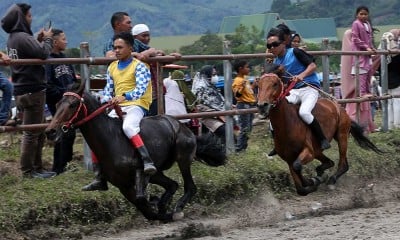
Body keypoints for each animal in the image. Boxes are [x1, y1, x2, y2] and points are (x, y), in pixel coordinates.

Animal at [44, 80, 225, 221]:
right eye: (57, 104)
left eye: (72, 105)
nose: (50, 131)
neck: (111, 140)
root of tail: (184, 127)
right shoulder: (122, 185)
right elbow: (146, 210)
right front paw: (159, 206)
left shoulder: (140, 172)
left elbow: (142, 199)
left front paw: (159, 204)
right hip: (158, 172)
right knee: (173, 184)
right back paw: (164, 204)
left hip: (183, 158)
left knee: (190, 187)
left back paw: (178, 208)